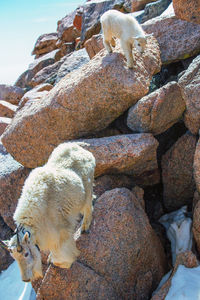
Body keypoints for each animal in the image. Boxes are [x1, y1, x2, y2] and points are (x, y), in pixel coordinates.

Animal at [3, 142, 95, 282]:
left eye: (26, 254)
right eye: (14, 257)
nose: (26, 279)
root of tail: (82, 148)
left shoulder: (60, 232)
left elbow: (61, 255)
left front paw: (65, 262)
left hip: (87, 186)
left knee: (88, 206)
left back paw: (84, 227)